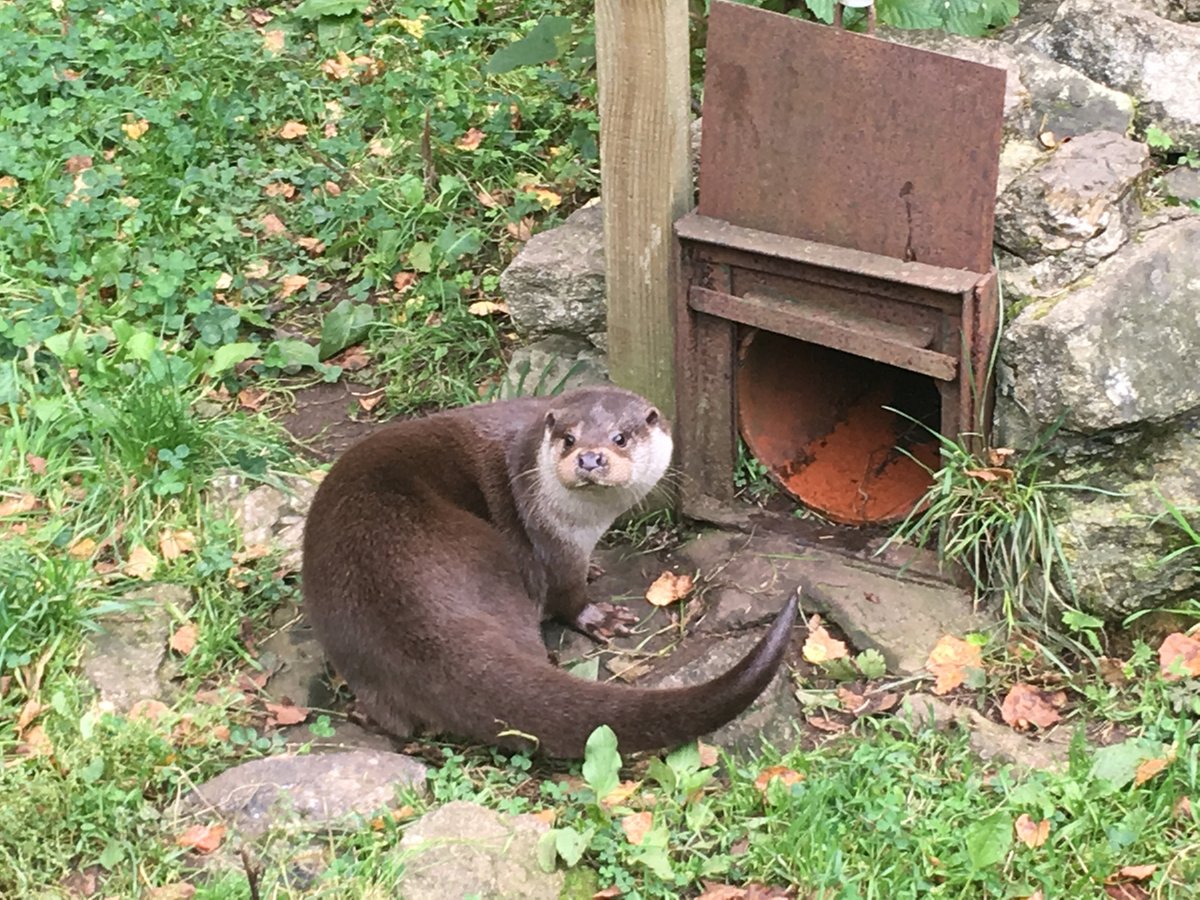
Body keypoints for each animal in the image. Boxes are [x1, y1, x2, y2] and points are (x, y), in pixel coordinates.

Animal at [300, 388, 796, 763]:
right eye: (569, 438)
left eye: (619, 437)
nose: (591, 458)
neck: (583, 525)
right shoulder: (553, 546)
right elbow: (566, 595)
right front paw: (599, 617)